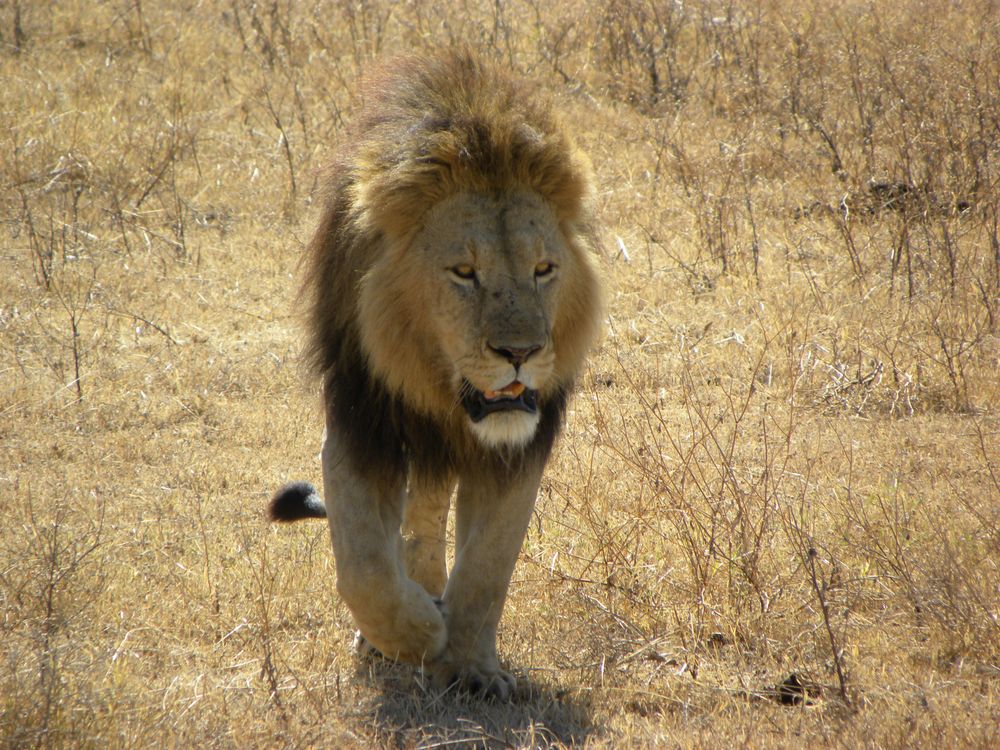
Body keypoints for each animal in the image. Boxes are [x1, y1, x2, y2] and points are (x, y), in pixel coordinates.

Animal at [266, 50, 604, 704]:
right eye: (464, 273)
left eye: (543, 269)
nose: (521, 351)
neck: (445, 393)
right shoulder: (360, 424)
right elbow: (365, 568)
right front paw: (418, 634)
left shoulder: (519, 449)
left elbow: (488, 569)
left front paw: (473, 667)